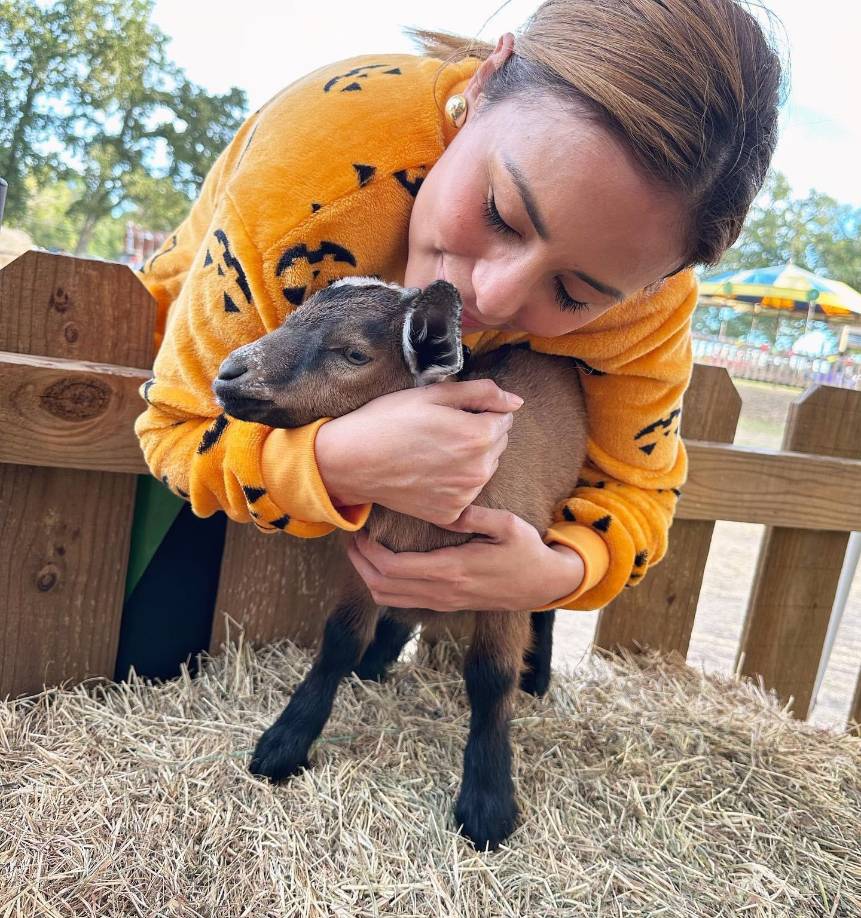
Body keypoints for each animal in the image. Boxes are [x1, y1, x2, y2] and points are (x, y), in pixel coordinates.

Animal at [213, 278, 587, 849]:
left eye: (353, 354)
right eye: (291, 319)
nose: (230, 373)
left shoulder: (506, 573)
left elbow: (490, 678)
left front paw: (488, 804)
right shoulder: (363, 561)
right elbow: (338, 641)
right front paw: (284, 743)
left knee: (545, 604)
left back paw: (537, 678)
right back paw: (378, 659)